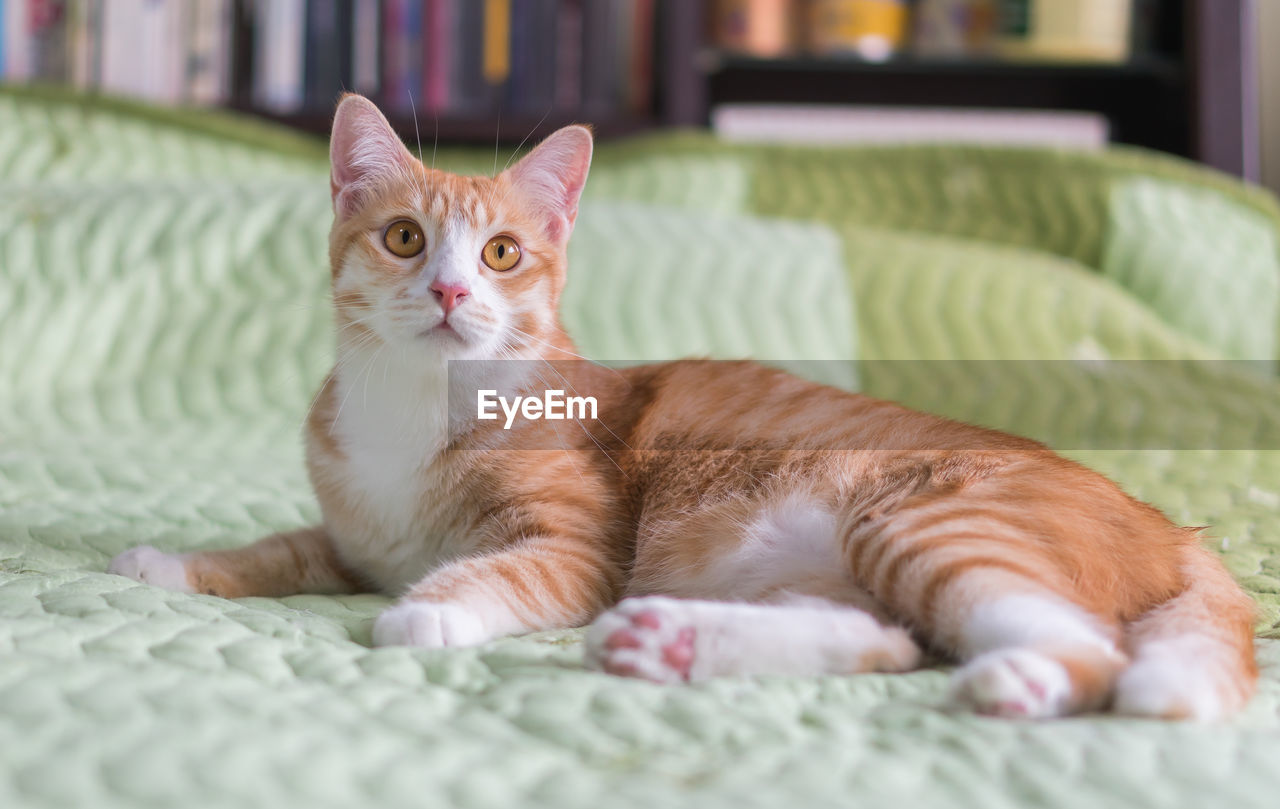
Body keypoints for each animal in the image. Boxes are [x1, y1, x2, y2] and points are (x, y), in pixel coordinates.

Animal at [104, 94, 1254, 721]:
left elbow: (504, 568)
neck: (415, 409)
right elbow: (281, 550)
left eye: (501, 253)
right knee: (882, 641)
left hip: (923, 519)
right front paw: (173, 564)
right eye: (402, 239)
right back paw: (673, 645)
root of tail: (1172, 526)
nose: (450, 292)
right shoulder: (351, 541)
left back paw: (1015, 678)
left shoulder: (579, 548)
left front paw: (431, 605)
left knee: (1089, 653)